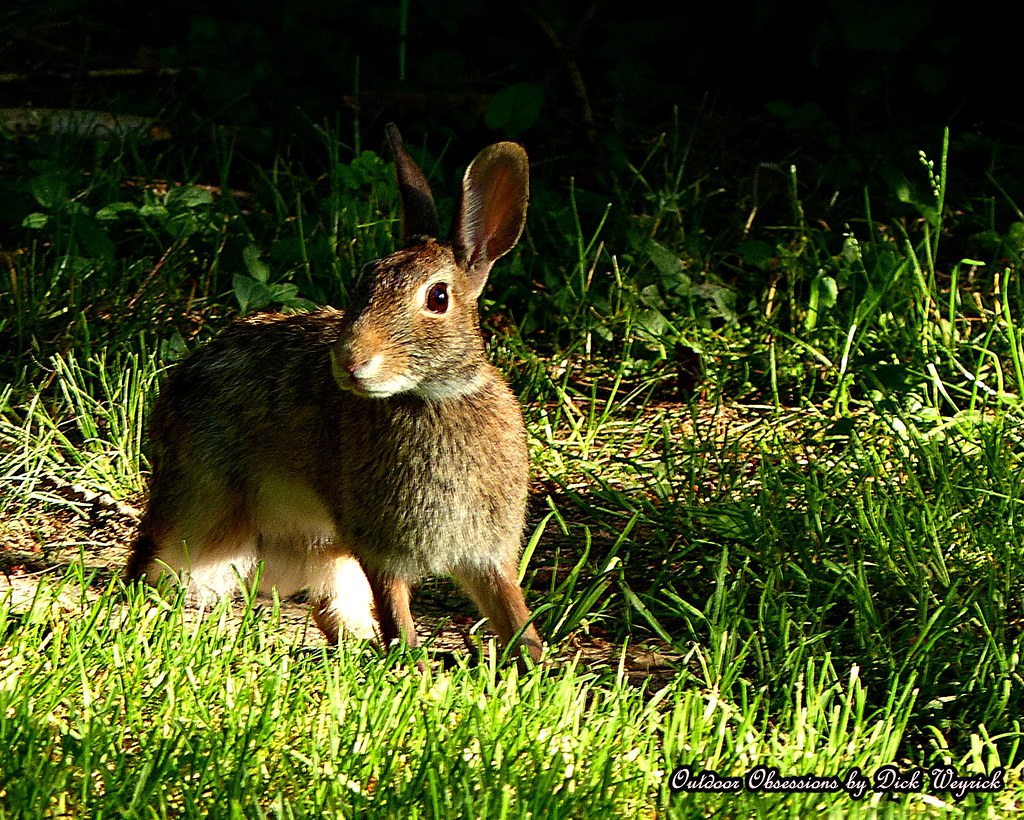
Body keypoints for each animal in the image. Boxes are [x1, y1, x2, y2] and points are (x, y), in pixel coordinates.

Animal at [126, 123, 543, 664]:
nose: (349, 360)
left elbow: (510, 609)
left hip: (325, 554)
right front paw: (411, 661)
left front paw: (535, 662)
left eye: (438, 298)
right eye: (364, 282)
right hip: (202, 512)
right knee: (152, 563)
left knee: (328, 607)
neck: (432, 396)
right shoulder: (380, 546)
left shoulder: (486, 554)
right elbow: (396, 606)